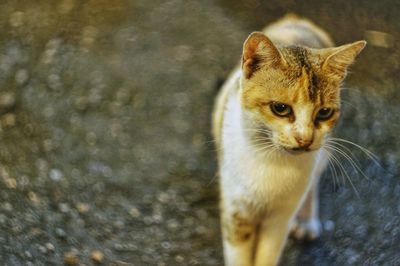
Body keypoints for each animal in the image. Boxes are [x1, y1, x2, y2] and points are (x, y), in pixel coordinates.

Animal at [212, 15, 366, 266]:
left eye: (324, 113)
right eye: (280, 108)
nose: (305, 139)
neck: (270, 160)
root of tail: (296, 20)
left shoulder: (279, 220)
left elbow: (267, 256)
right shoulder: (237, 213)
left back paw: (306, 221)